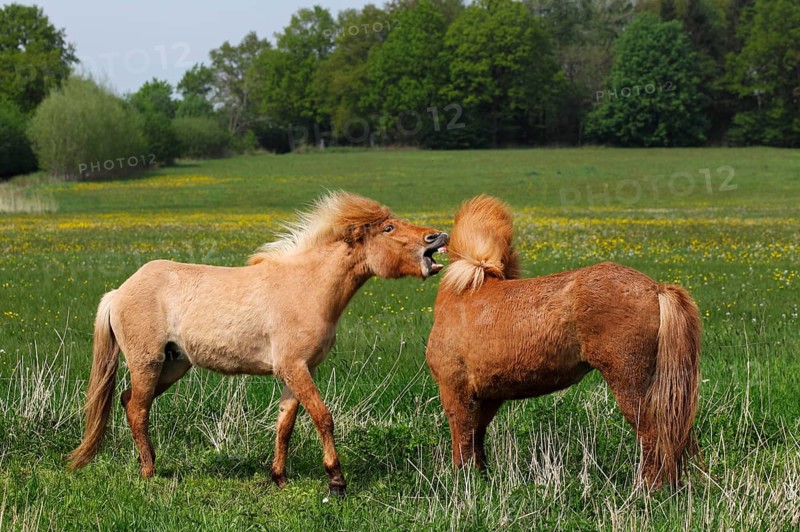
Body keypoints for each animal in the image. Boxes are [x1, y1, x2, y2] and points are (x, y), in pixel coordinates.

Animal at [69, 191, 449, 495]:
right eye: (388, 229)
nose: (438, 236)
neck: (307, 287)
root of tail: (118, 292)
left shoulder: (298, 371)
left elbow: (285, 425)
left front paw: (278, 477)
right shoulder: (294, 367)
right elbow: (323, 417)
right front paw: (336, 481)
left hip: (174, 364)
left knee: (128, 400)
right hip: (147, 363)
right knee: (137, 408)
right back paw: (149, 471)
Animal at [425, 195, 701, 489]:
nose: (431, 237)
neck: (464, 294)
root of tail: (656, 289)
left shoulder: (456, 391)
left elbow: (462, 441)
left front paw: (463, 482)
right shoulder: (488, 396)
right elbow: (477, 440)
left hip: (630, 383)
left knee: (652, 435)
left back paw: (646, 489)